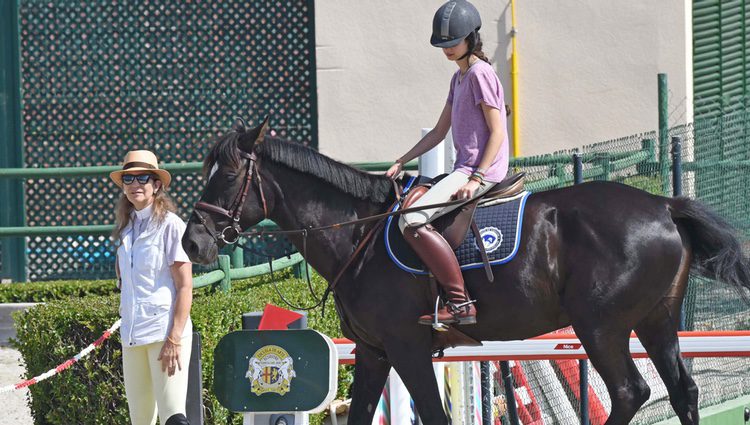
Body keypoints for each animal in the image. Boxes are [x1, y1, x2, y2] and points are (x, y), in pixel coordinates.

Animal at [182, 119, 750, 424]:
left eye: (226, 175)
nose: (192, 242)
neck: (356, 235)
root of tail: (664, 206)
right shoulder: (373, 352)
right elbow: (362, 414)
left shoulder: (408, 348)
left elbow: (433, 414)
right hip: (657, 321)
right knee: (683, 392)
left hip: (601, 327)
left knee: (631, 392)